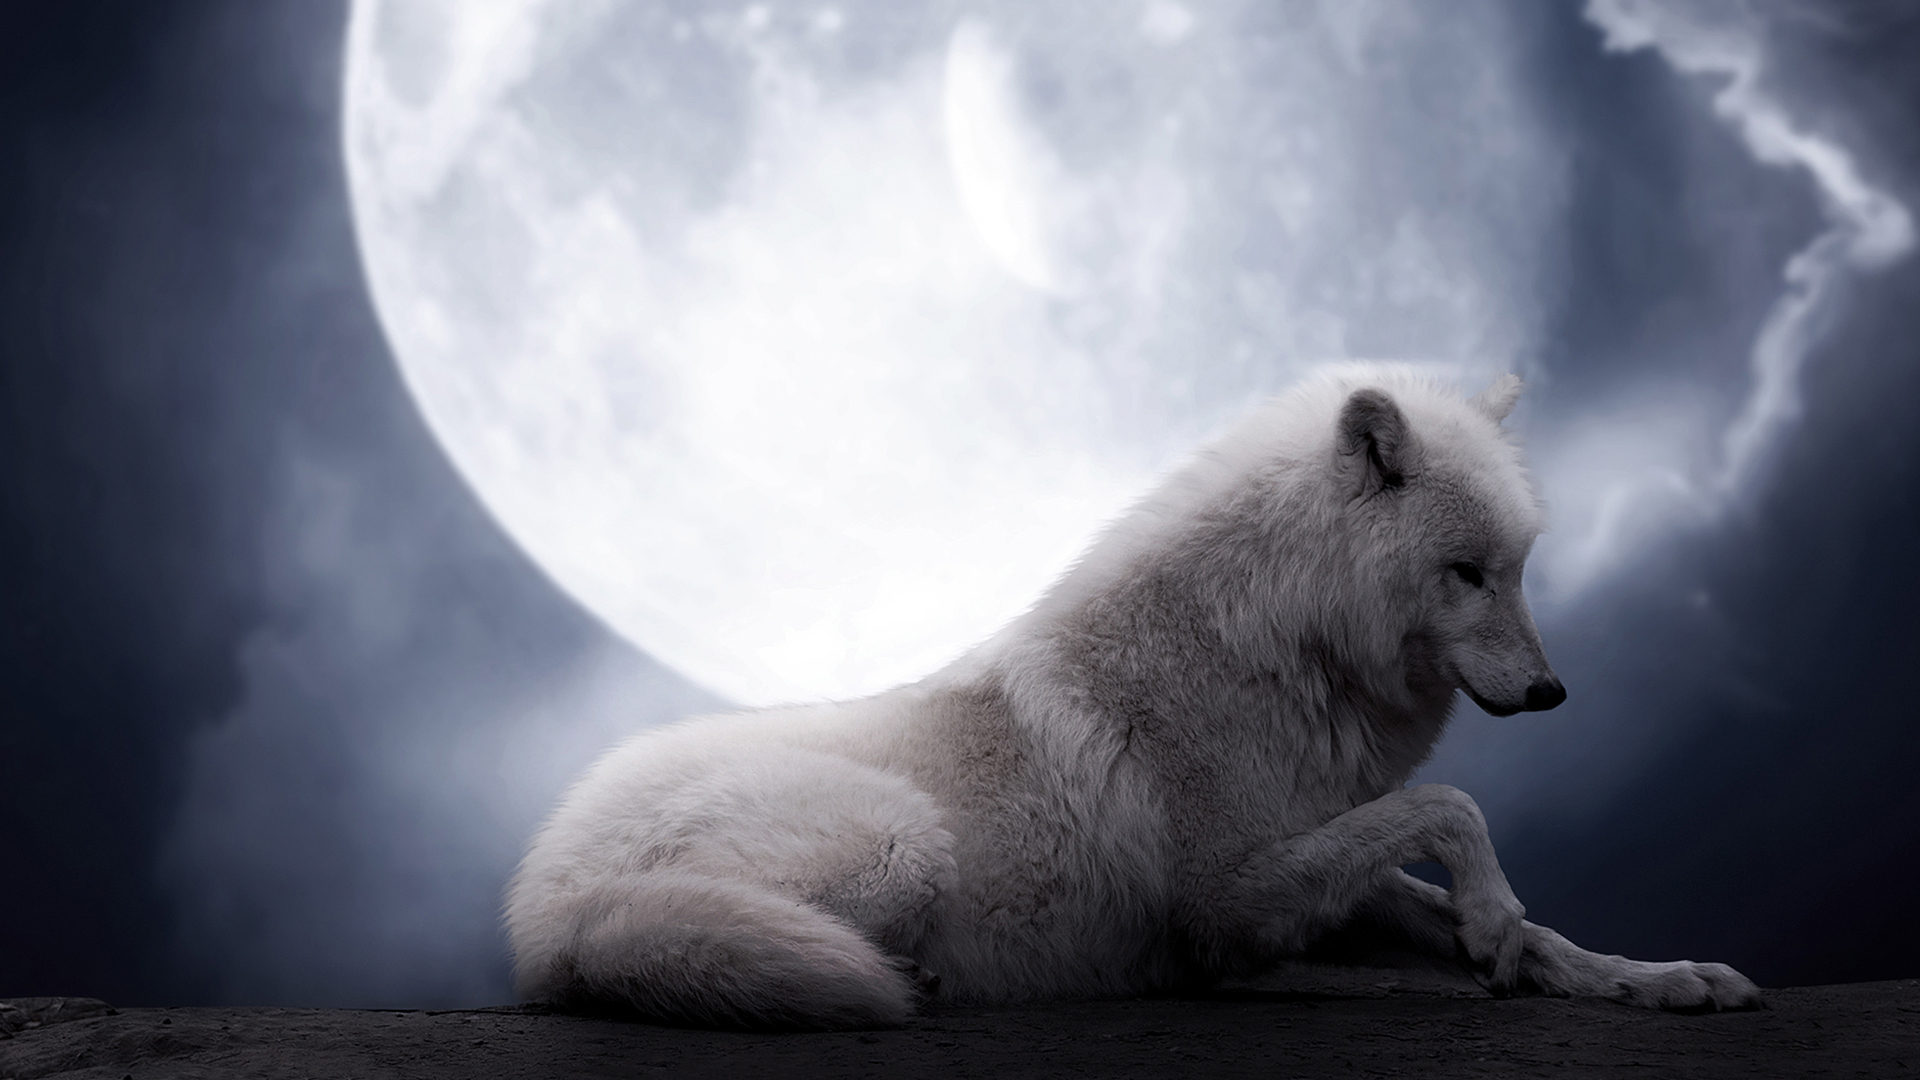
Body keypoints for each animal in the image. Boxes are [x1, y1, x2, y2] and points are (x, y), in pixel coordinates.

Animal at [504, 368, 1761, 1029]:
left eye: (1521, 566)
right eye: (1466, 573)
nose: (1553, 692)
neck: (1278, 648)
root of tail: (544, 902)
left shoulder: (1310, 855)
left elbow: (1503, 913)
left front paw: (1651, 977)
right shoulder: (1228, 895)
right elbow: (1453, 808)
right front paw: (1493, 924)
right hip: (902, 844)